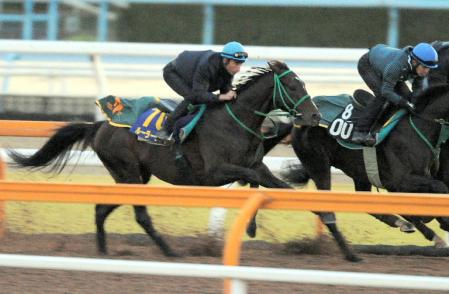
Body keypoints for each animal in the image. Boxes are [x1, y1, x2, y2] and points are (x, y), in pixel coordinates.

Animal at [7, 59, 328, 258]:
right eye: (293, 86)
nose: (314, 116)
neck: (235, 122)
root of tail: (99, 125)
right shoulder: (214, 173)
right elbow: (254, 179)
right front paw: (253, 223)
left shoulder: (255, 165)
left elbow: (274, 184)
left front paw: (320, 212)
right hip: (129, 174)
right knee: (140, 216)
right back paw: (168, 251)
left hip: (132, 177)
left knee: (101, 209)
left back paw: (103, 251)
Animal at [284, 85, 449, 248]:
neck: (419, 126)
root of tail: (300, 118)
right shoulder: (400, 181)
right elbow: (439, 189)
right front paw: (439, 225)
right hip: (318, 164)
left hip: (359, 172)